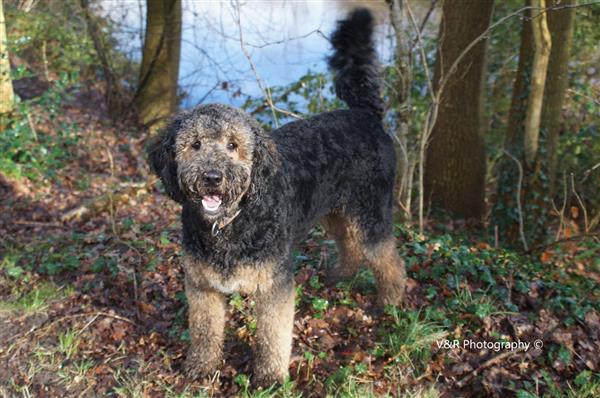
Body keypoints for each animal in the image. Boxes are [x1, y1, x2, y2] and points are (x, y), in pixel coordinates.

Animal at [147, 8, 406, 386]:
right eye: (194, 144)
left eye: (233, 145)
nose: (212, 178)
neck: (230, 224)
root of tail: (365, 115)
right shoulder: (202, 286)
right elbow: (206, 331)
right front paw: (202, 368)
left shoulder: (274, 287)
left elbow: (272, 336)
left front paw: (269, 378)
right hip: (335, 211)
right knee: (351, 245)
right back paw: (341, 275)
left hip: (372, 213)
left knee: (388, 260)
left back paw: (391, 303)